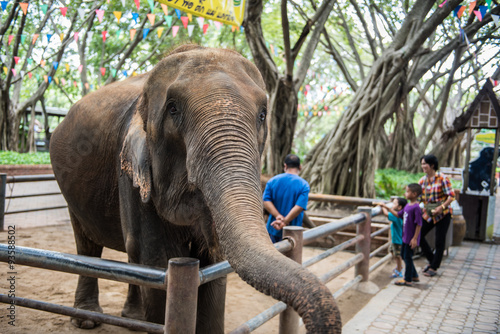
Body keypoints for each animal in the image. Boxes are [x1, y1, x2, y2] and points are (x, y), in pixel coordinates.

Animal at [49, 45, 340, 334]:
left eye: (262, 114)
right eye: (173, 109)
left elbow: (212, 263)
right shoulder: (132, 175)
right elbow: (157, 257)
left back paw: (133, 319)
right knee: (89, 246)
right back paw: (87, 320)